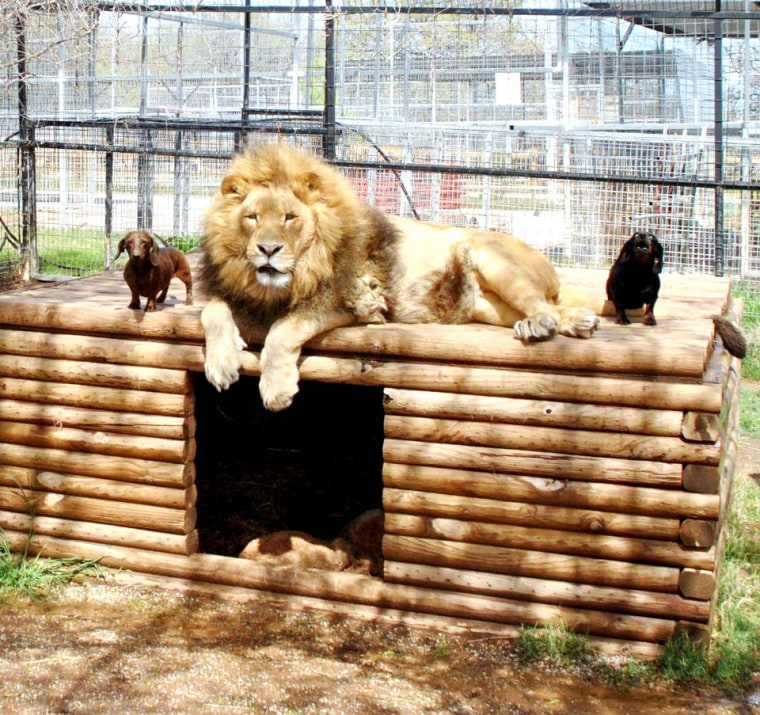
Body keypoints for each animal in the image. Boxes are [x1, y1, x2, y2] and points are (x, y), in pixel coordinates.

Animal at [200, 143, 600, 412]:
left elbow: (284, 330)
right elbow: (211, 313)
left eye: (289, 218)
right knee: (547, 307)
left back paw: (552, 324)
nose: (268, 249)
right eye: (252, 217)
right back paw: (564, 323)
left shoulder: (354, 300)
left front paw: (276, 389)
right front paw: (221, 365)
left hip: (492, 257)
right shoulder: (230, 292)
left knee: (544, 305)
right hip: (487, 307)